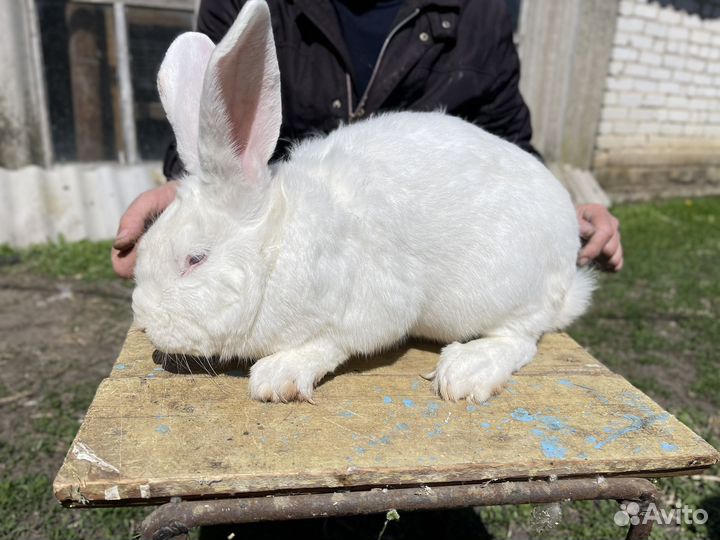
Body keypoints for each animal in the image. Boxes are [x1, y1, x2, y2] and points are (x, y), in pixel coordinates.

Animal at [131, 0, 595, 404]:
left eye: (195, 259)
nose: (144, 319)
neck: (278, 245)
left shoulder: (374, 307)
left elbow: (332, 343)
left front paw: (278, 374)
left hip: (507, 293)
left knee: (521, 338)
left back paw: (467, 370)